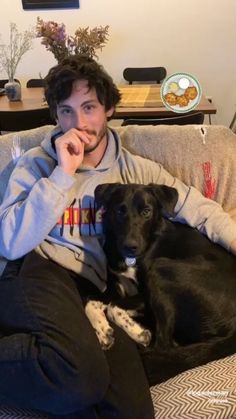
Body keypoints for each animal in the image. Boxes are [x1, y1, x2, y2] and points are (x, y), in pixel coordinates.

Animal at [88, 182, 236, 386]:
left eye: (146, 211)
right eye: (119, 211)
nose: (130, 246)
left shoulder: (143, 295)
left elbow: (113, 306)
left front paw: (138, 332)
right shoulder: (115, 286)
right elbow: (91, 302)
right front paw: (103, 331)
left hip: (160, 269)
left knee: (164, 346)